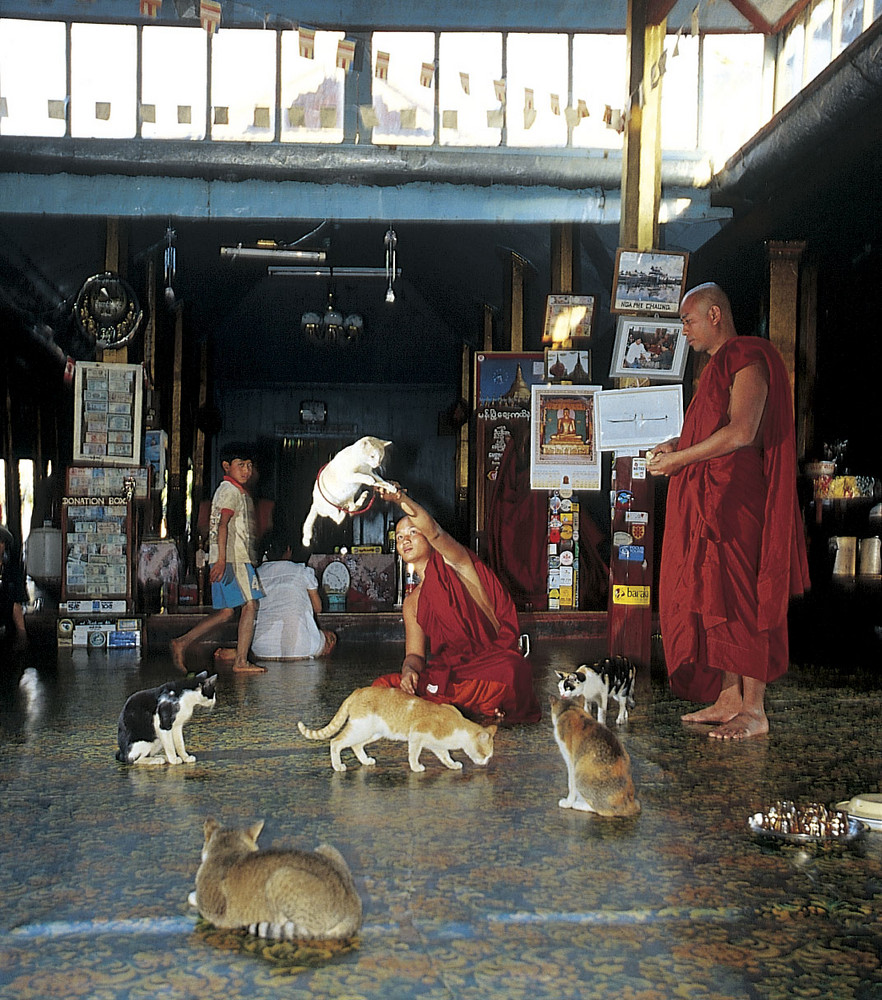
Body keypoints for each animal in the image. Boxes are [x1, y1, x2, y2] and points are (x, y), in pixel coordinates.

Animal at [188, 816, 360, 940]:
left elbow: (194, 898)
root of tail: (354, 910)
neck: (228, 850)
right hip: (325, 847)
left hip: (280, 877)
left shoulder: (215, 913)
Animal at [298, 688, 496, 772]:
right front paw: (416, 768)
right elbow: (414, 754)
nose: (486, 763)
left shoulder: (437, 745)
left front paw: (452, 765)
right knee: (336, 742)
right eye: (485, 754)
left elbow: (445, 756)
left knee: (356, 746)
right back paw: (338, 766)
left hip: (373, 733)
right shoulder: (416, 734)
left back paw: (366, 761)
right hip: (360, 729)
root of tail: (358, 691)